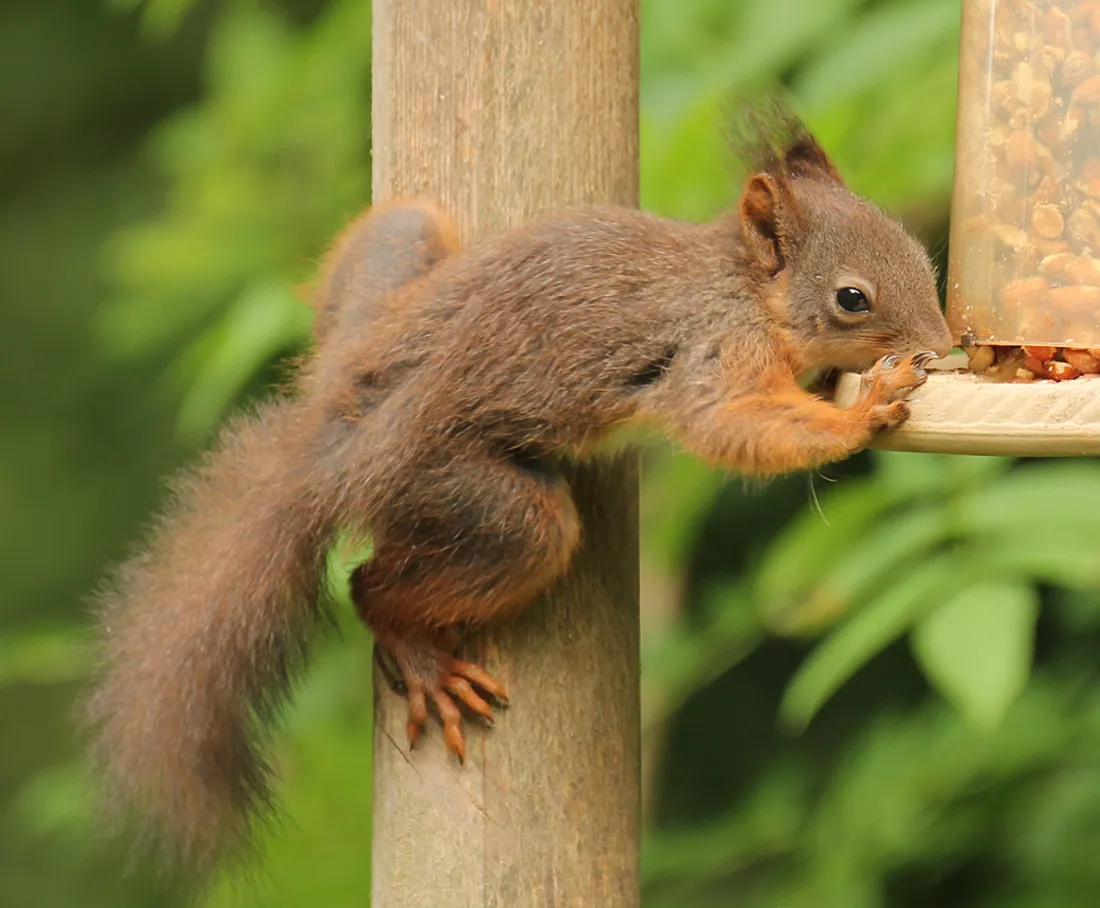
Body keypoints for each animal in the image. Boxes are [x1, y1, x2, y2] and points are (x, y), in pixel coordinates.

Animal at [82, 108, 954, 875]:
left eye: (924, 256)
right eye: (852, 298)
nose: (945, 348)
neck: (742, 286)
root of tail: (334, 453)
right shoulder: (712, 349)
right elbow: (727, 421)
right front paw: (865, 410)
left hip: (387, 267)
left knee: (398, 236)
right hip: (479, 500)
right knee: (383, 580)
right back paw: (419, 654)